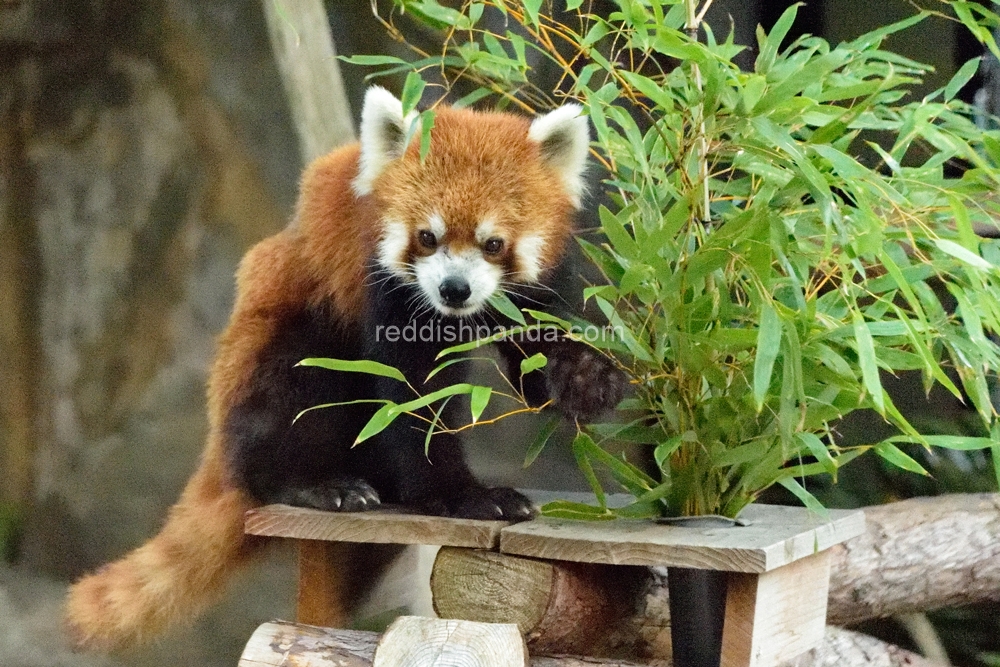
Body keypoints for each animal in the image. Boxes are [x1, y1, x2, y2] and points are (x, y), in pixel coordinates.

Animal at [62, 85, 624, 652]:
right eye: (427, 237)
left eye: (493, 243)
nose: (454, 289)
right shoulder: (382, 285)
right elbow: (411, 395)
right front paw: (460, 495)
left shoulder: (537, 285)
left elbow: (538, 357)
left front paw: (586, 379)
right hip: (278, 356)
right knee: (292, 398)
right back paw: (315, 484)